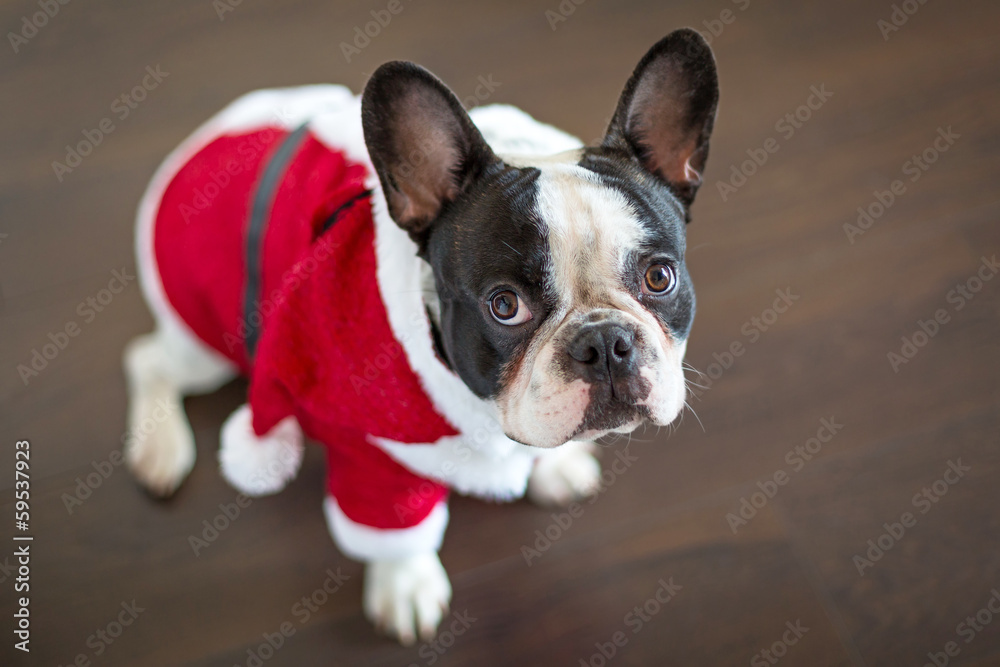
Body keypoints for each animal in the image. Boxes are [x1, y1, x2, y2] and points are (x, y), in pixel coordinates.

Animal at [125, 28, 720, 644]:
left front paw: (555, 465)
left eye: (660, 277)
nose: (604, 343)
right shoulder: (375, 454)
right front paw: (406, 586)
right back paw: (159, 449)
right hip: (207, 340)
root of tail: (205, 139)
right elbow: (394, 532)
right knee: (148, 359)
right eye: (504, 306)